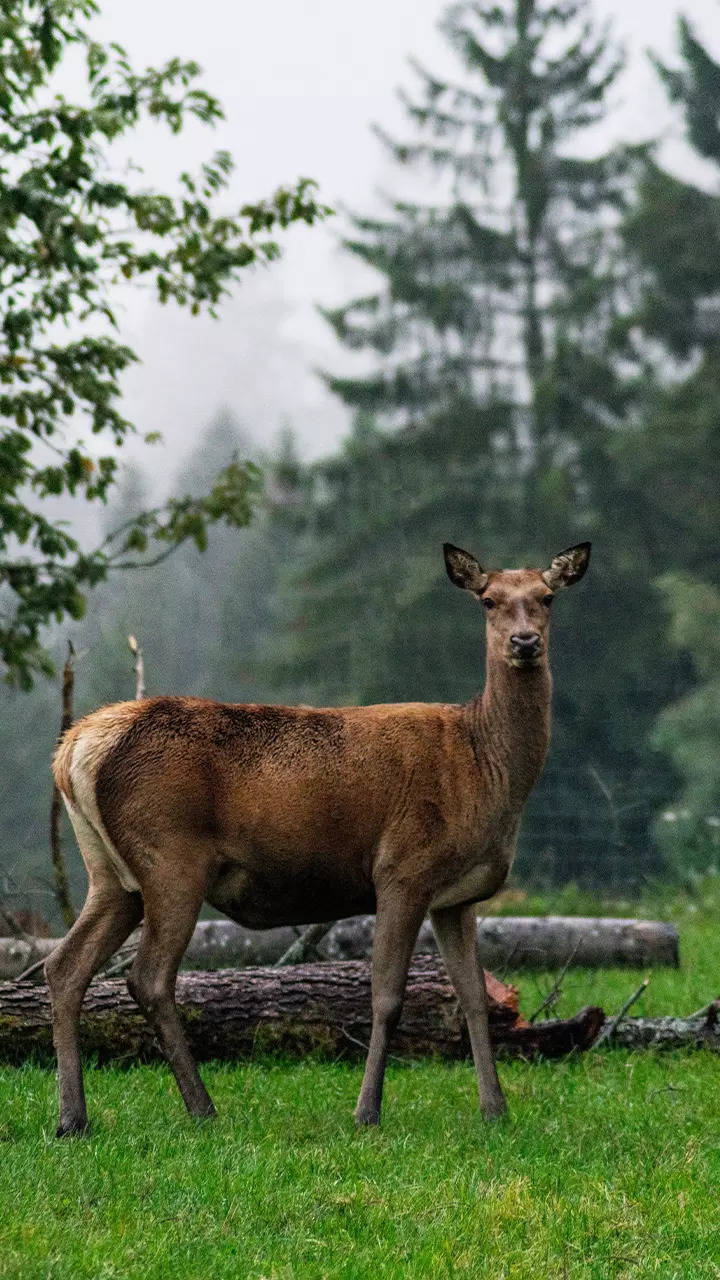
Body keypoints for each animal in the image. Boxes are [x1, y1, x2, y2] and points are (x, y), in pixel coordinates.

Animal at [49, 535, 589, 1136]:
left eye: (547, 597)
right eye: (488, 600)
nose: (525, 642)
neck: (486, 768)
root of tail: (75, 748)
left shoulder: (456, 896)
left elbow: (473, 994)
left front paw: (495, 1109)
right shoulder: (402, 868)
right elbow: (386, 995)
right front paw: (367, 1111)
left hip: (110, 875)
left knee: (64, 967)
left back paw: (73, 1118)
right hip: (171, 858)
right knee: (147, 977)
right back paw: (202, 1108)